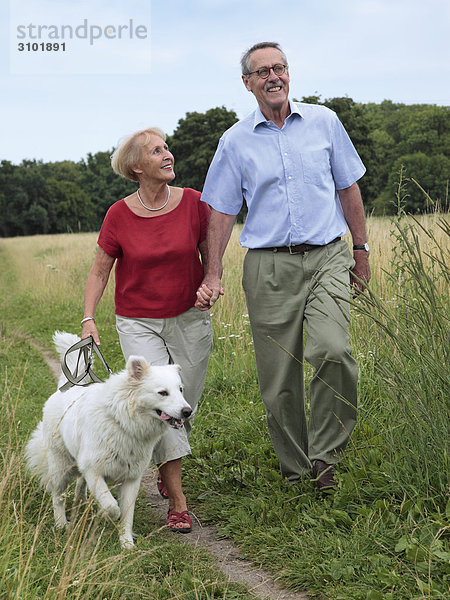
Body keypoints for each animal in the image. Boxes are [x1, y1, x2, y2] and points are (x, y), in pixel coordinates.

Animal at [26, 332, 192, 548]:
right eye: (163, 393)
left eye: (180, 390)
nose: (188, 411)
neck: (122, 421)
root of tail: (66, 387)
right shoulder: (94, 470)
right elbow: (112, 505)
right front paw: (105, 515)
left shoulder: (131, 479)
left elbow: (127, 514)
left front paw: (127, 543)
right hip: (61, 467)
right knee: (58, 496)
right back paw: (62, 523)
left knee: (79, 485)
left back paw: (81, 504)